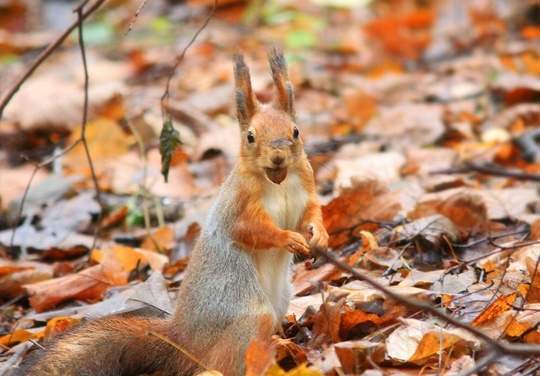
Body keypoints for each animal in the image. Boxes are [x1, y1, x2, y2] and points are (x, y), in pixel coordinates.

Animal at [10, 48, 326, 374]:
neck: (278, 181)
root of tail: (183, 340)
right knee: (220, 364)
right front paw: (288, 238)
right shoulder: (237, 205)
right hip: (249, 317)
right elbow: (250, 230)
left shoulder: (306, 190)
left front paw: (319, 235)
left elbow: (312, 213)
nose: (278, 156)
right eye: (250, 136)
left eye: (296, 131)